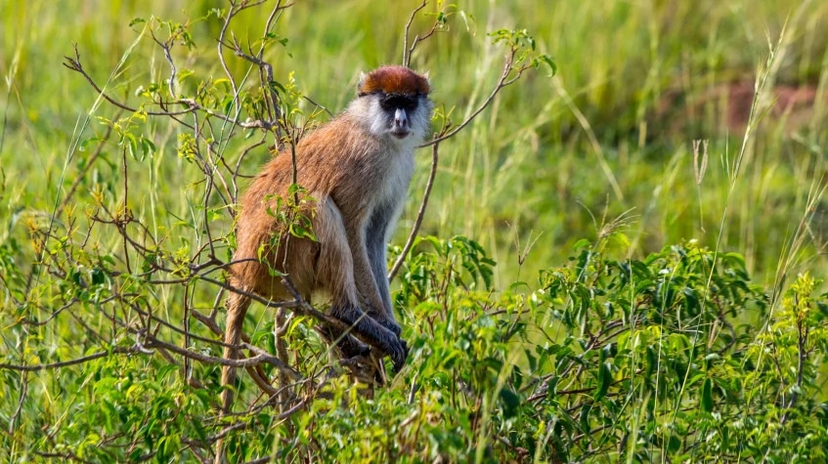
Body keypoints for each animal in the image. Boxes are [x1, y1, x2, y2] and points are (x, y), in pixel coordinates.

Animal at [219, 65, 433, 414]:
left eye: (408, 103)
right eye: (389, 103)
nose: (401, 121)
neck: (371, 128)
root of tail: (244, 265)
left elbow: (374, 237)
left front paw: (389, 323)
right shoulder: (368, 163)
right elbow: (352, 226)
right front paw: (380, 325)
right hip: (278, 251)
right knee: (319, 206)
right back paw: (347, 315)